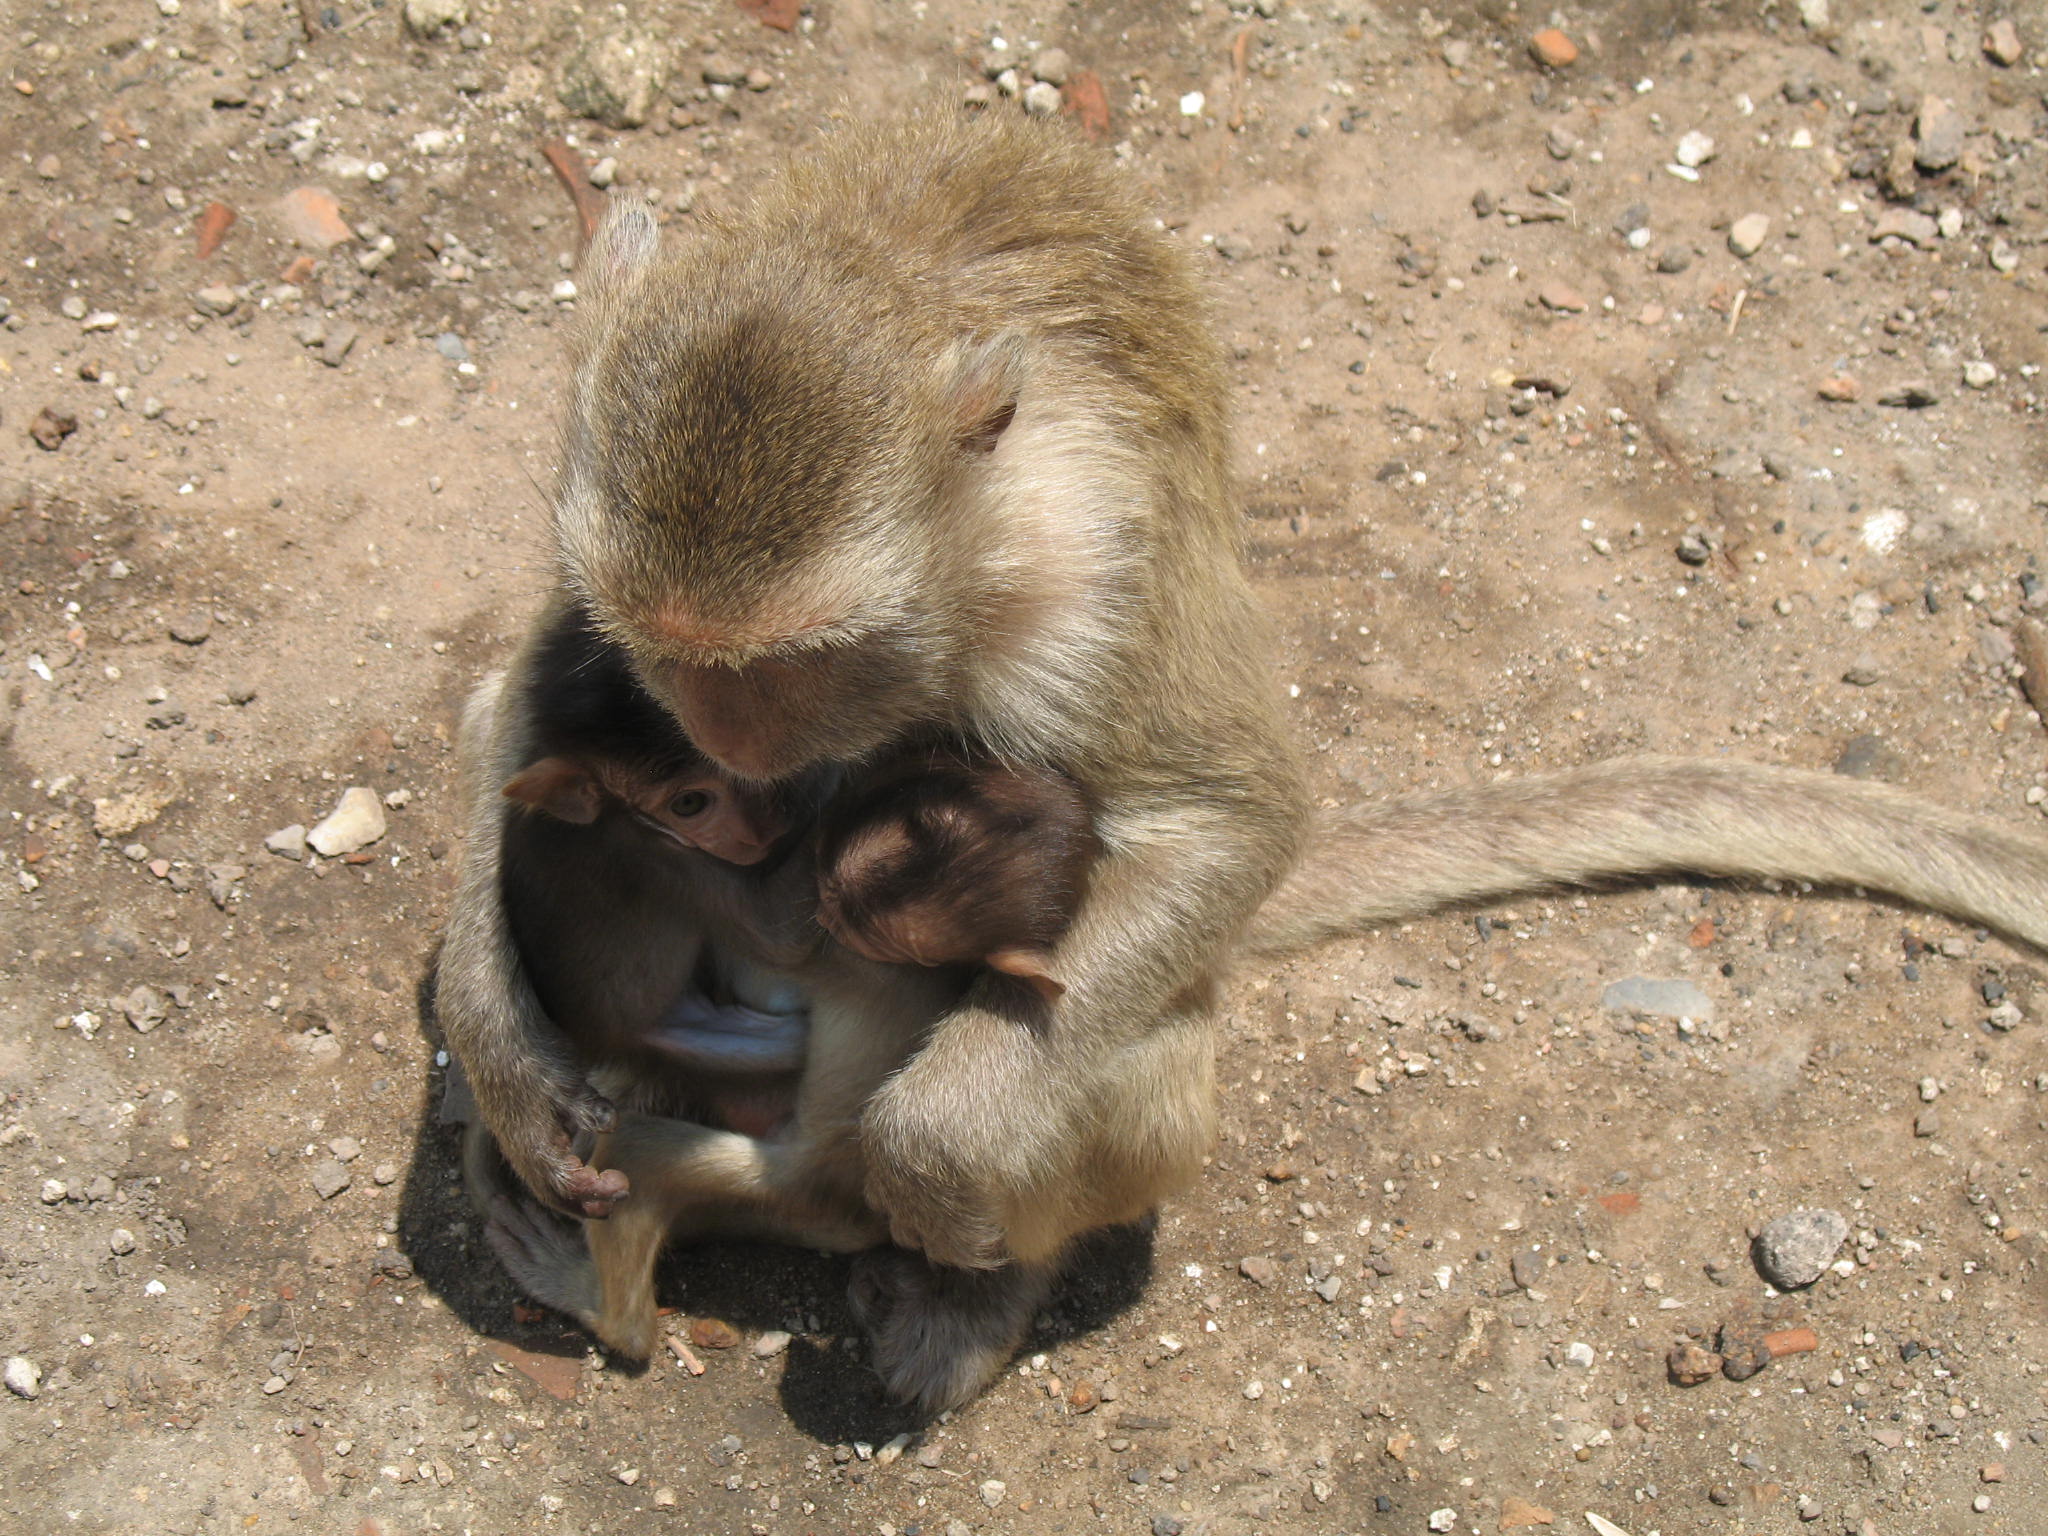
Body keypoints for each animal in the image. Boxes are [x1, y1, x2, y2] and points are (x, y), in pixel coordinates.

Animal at [436, 114, 2048, 1417]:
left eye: (784, 665)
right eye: (681, 659)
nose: (724, 746)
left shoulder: (1096, 572)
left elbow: (1230, 820)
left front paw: (941, 1157)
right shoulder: (595, 538)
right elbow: (512, 708)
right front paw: (496, 1040)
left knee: (1119, 1049)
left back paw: (951, 1282)